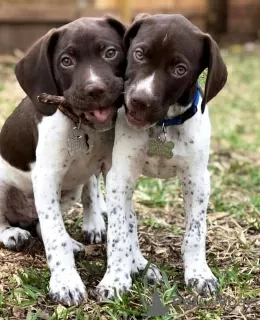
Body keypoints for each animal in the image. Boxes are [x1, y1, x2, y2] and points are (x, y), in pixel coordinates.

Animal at [0, 16, 126, 306]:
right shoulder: (46, 177)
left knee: (40, 223)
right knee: (12, 222)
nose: (95, 89)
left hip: (68, 192)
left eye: (110, 52)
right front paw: (65, 283)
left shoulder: (111, 169)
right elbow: (54, 237)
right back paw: (12, 233)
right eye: (66, 61)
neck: (83, 125)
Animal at [97, 14, 228, 300]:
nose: (139, 100)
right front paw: (115, 279)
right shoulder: (120, 175)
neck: (163, 124)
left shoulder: (198, 180)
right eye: (139, 54)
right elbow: (119, 234)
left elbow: (196, 232)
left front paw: (199, 273)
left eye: (179, 69)